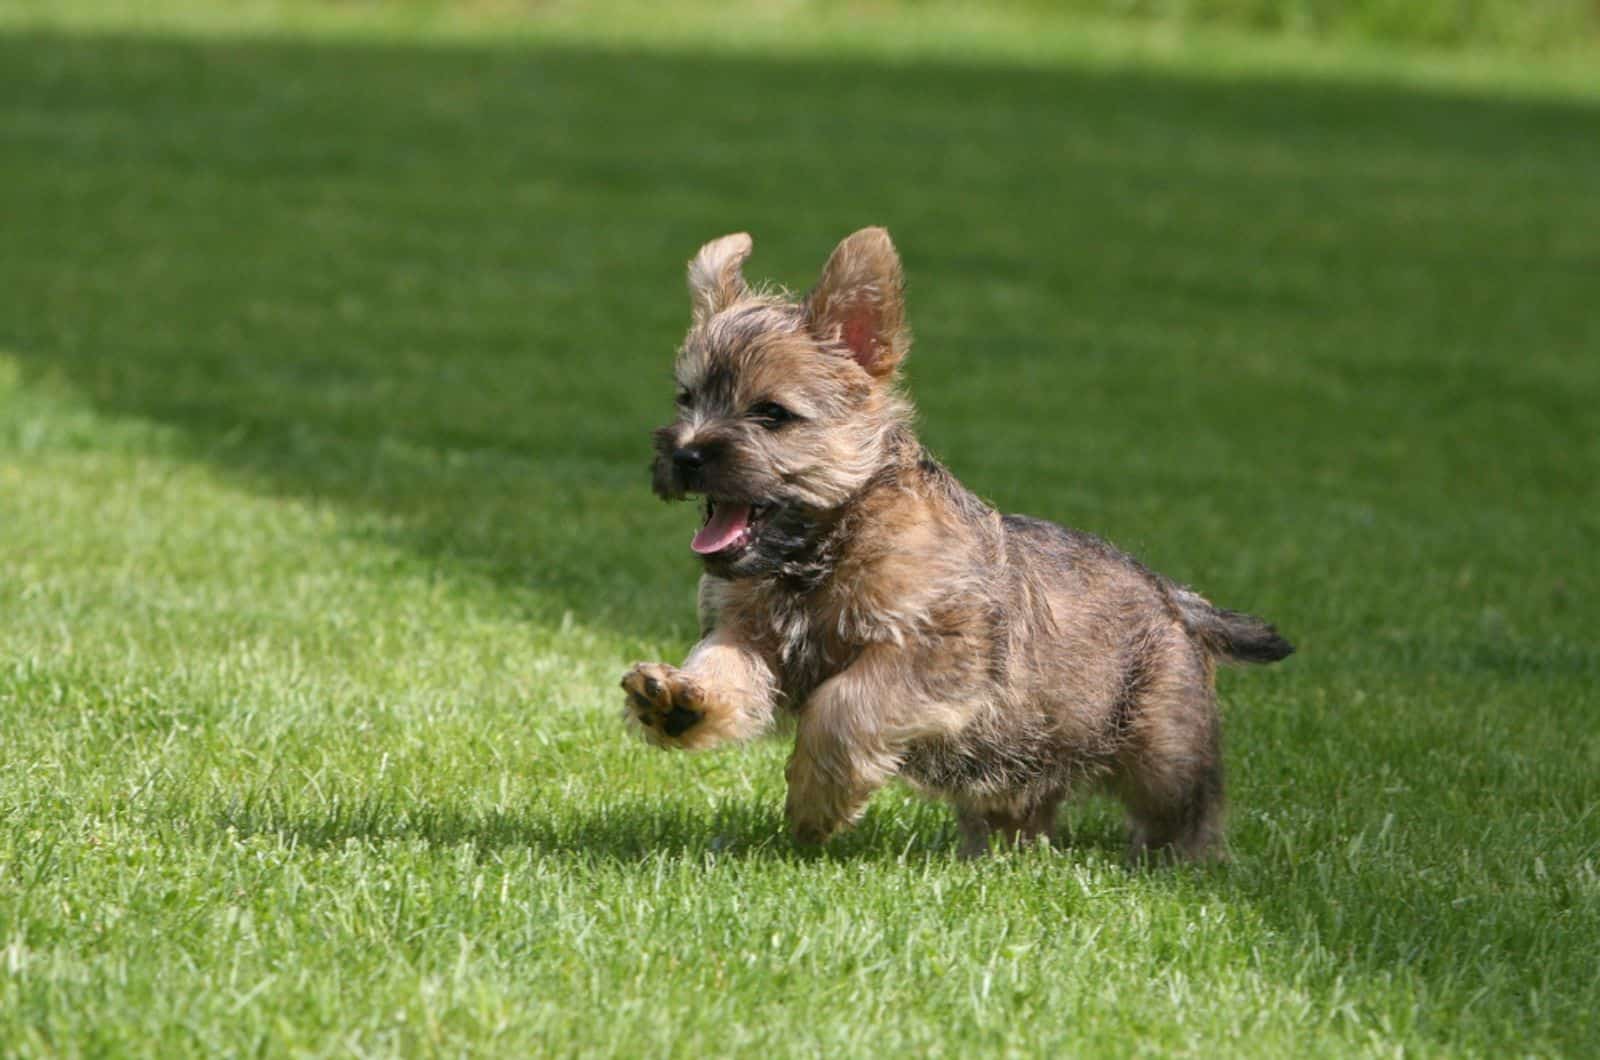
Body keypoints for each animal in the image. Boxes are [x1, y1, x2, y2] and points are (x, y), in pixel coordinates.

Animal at [617, 225, 1292, 864]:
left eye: (772, 414)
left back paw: (1178, 866)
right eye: (687, 398)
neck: (823, 551)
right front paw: (679, 700)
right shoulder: (747, 629)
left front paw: (814, 803)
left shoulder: (938, 653)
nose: (685, 454)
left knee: (1185, 810)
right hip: (1021, 760)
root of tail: (1174, 598)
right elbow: (724, 665)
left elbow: (844, 705)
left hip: (1164, 747)